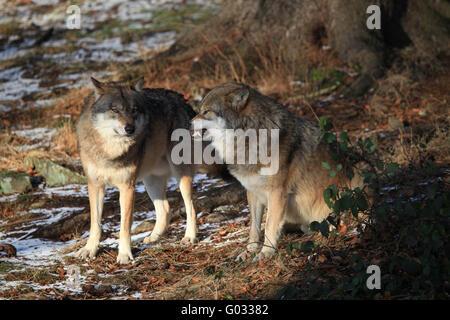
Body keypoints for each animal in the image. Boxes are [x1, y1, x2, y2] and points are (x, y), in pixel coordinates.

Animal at [76, 78, 198, 264]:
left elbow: (125, 226)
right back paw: (154, 237)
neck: (110, 151)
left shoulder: (127, 187)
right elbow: (95, 224)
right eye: (115, 110)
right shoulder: (95, 185)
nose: (130, 129)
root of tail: (181, 99)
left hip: (180, 174)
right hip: (150, 181)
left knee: (191, 207)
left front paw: (124, 255)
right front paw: (90, 250)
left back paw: (190, 237)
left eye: (134, 110)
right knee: (165, 209)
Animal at [191, 82, 370, 262]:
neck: (248, 138)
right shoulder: (252, 192)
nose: (190, 123)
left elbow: (270, 226)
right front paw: (249, 251)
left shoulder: (277, 192)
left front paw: (266, 253)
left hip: (360, 171)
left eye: (206, 112)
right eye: (199, 110)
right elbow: (254, 228)